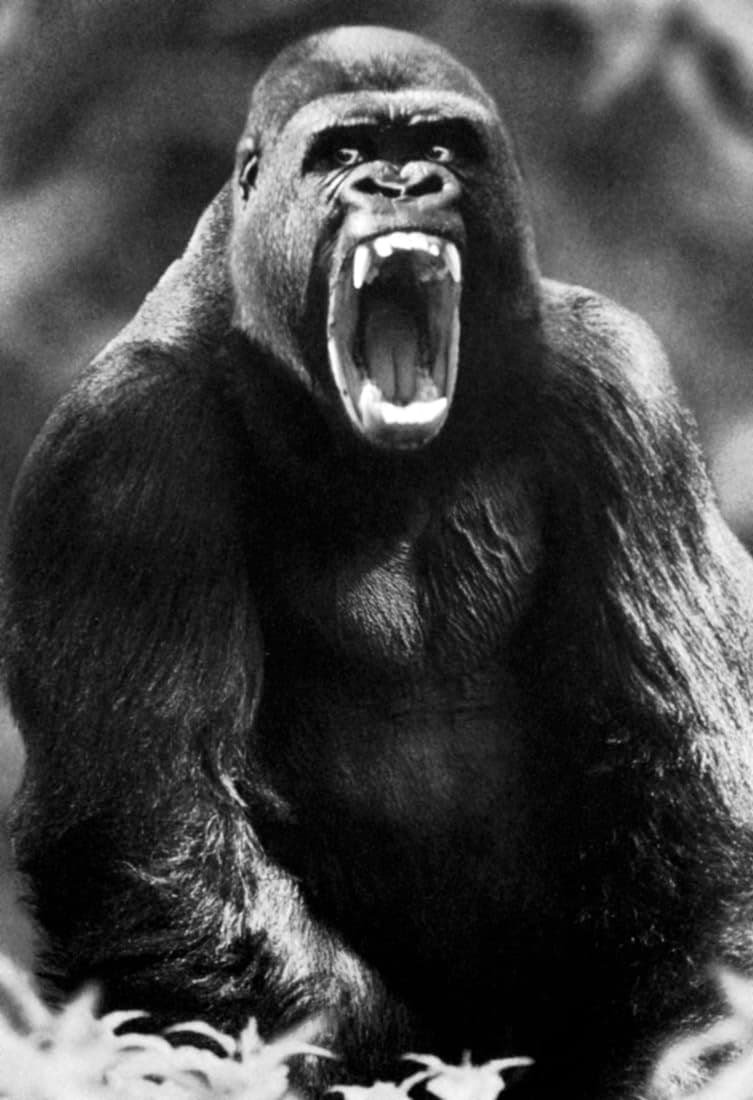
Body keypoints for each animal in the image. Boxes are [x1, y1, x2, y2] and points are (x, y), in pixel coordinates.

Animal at [5, 24, 753, 1100]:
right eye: (346, 153)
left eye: (440, 147)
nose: (401, 183)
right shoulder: (121, 450)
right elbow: (154, 832)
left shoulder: (621, 380)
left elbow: (693, 787)